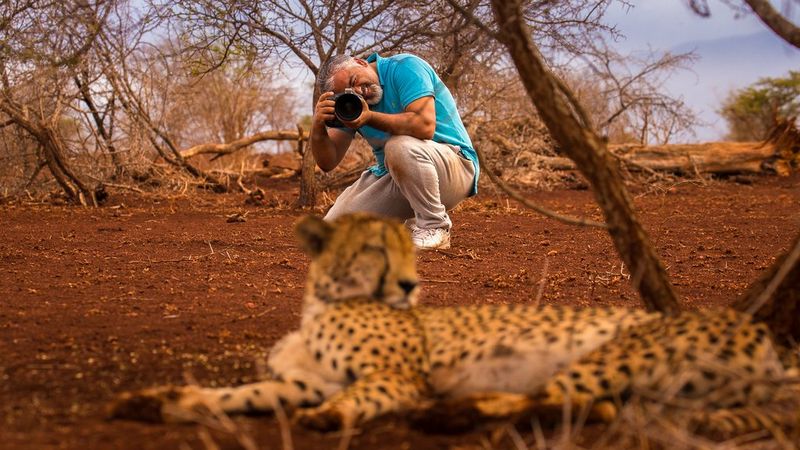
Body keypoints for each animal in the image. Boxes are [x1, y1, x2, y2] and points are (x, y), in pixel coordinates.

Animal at [110, 213, 797, 438]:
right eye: (376, 249)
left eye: (411, 251)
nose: (412, 286)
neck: (320, 303)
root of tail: (771, 341)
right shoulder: (301, 381)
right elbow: (236, 394)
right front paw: (161, 399)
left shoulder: (393, 376)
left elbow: (360, 395)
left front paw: (332, 418)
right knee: (595, 408)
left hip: (621, 348)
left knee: (561, 399)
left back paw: (451, 415)